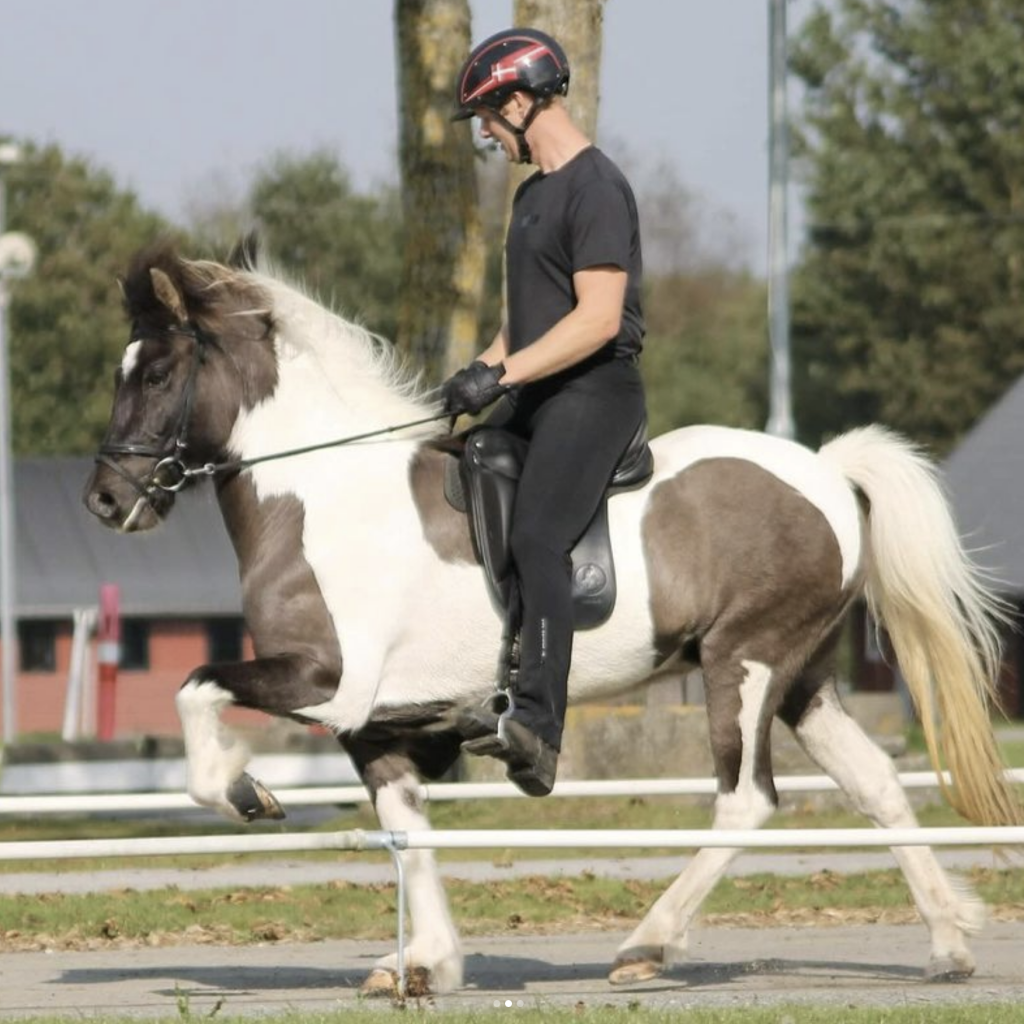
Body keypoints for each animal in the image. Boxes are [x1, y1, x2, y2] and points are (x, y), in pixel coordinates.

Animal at [83, 243, 1019, 995]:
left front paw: (244, 791)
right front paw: (427, 964)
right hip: (803, 678)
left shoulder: (328, 683)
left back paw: (647, 946)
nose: (105, 500)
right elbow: (406, 829)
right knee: (878, 785)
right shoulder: (375, 723)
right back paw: (948, 946)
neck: (322, 493)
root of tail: (825, 469)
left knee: (745, 800)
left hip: (744, 663)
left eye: (156, 375)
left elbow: (196, 689)